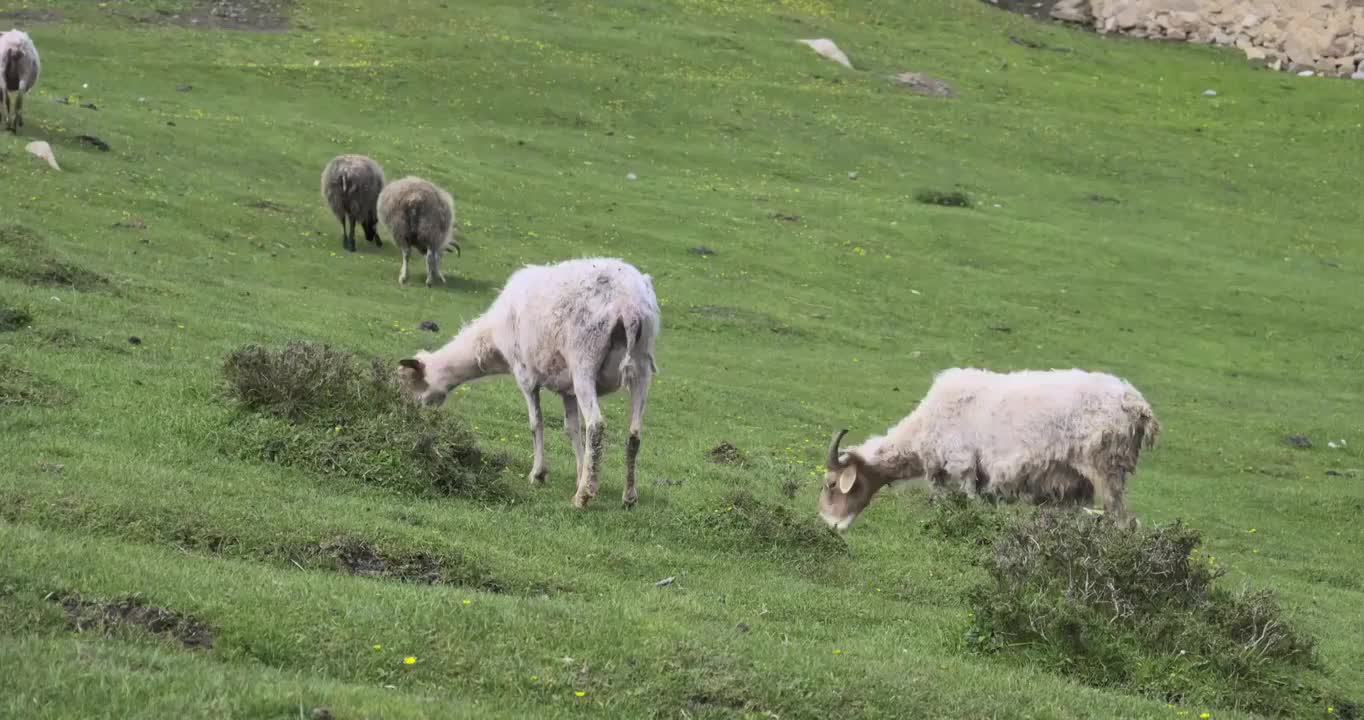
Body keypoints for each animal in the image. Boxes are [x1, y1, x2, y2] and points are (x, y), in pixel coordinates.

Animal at [395, 256, 660, 510]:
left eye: (413, 388)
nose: (411, 418)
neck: (491, 342)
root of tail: (628, 305)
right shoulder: (567, 389)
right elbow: (572, 429)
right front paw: (581, 475)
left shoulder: (525, 374)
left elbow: (536, 423)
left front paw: (539, 474)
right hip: (642, 366)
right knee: (634, 434)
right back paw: (628, 497)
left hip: (584, 361)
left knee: (596, 425)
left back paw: (582, 498)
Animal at [812, 368, 1156, 531]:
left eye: (832, 484)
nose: (830, 526)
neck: (925, 425)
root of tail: (1139, 405)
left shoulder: (961, 465)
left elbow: (959, 503)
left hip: (1106, 468)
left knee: (1122, 521)